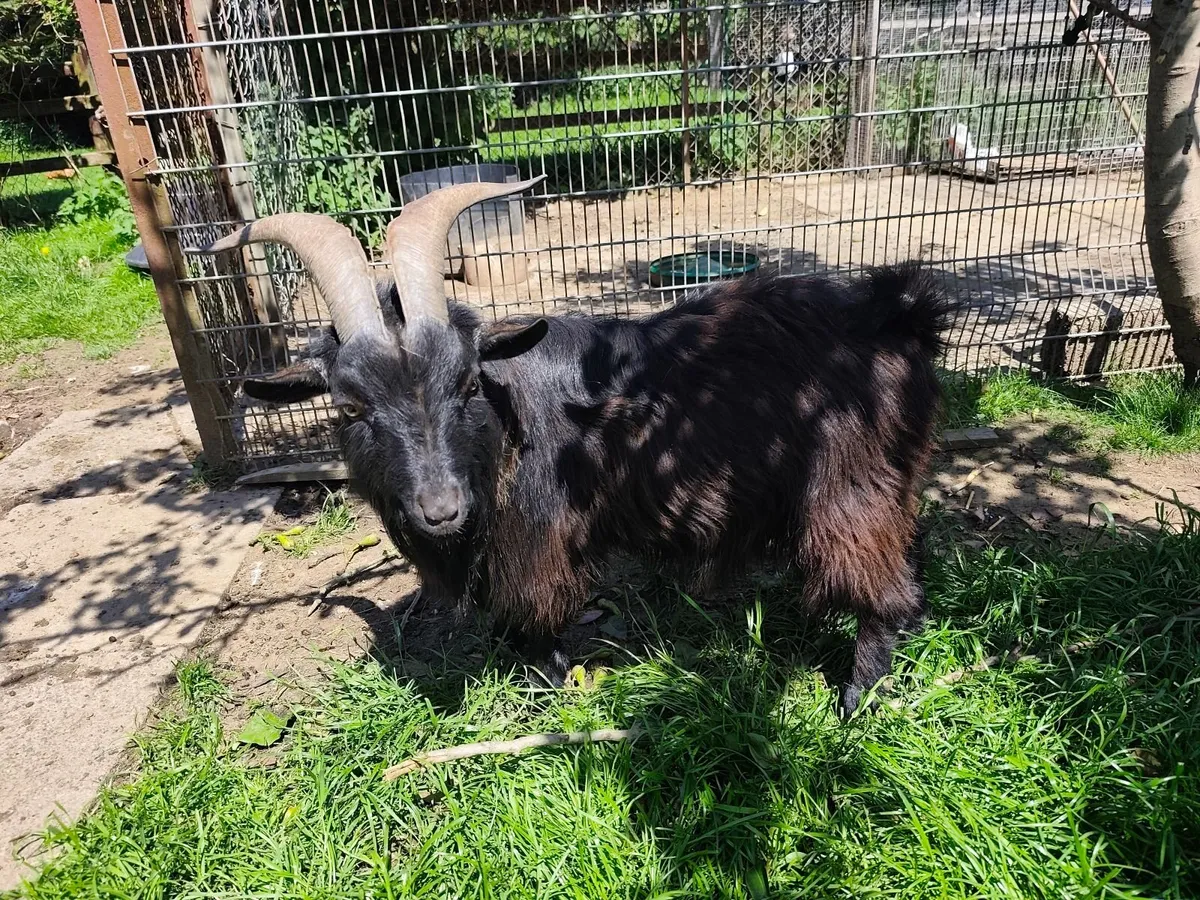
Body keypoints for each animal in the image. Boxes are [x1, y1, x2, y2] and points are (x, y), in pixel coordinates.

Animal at [199, 177, 957, 716]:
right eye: (350, 405)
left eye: (466, 383)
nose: (441, 510)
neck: (504, 423)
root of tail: (898, 317)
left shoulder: (537, 542)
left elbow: (539, 617)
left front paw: (546, 688)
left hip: (851, 490)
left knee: (889, 596)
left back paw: (856, 700)